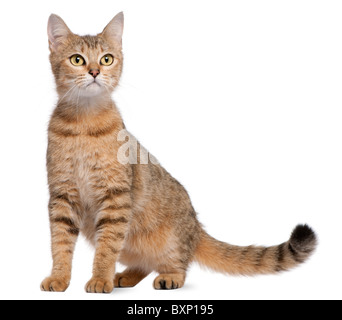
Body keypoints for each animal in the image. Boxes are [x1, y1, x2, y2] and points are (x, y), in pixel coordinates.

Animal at [41, 11, 316, 292]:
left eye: (107, 59)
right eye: (77, 59)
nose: (95, 71)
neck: (84, 124)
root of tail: (196, 227)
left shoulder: (115, 199)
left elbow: (106, 248)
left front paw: (99, 278)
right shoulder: (62, 196)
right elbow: (60, 245)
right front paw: (59, 277)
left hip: (168, 240)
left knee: (178, 264)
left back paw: (168, 276)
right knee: (144, 263)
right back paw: (125, 276)